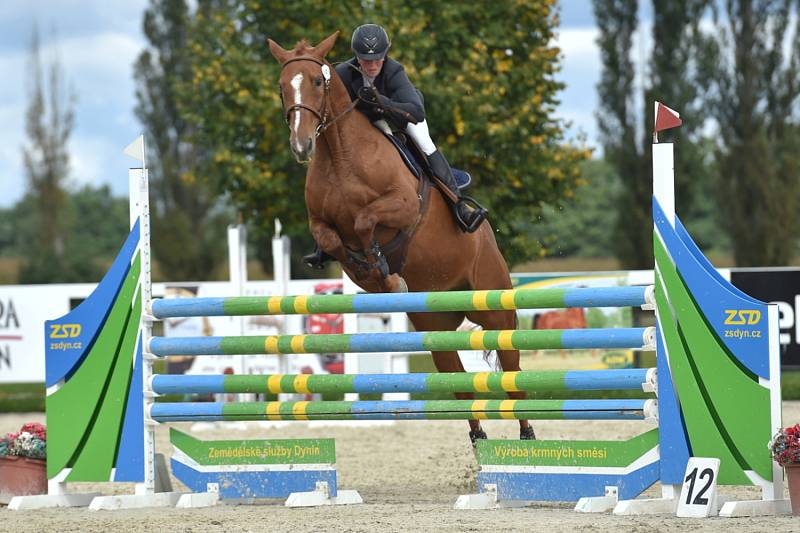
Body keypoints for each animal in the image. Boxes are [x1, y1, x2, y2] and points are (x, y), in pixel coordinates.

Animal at [268, 32, 536, 440]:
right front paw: (375, 272)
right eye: (283, 87)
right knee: (458, 381)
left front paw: (385, 272)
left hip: (494, 306)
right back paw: (478, 438)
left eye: (316, 81)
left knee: (511, 366)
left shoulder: (404, 206)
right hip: (433, 327)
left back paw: (526, 434)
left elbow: (366, 221)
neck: (341, 155)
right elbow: (333, 242)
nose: (302, 146)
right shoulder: (320, 223)